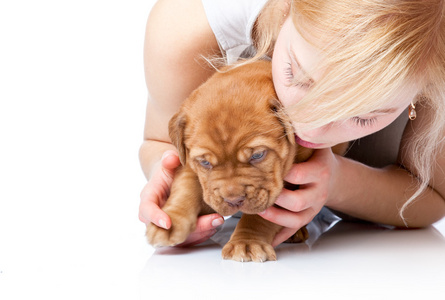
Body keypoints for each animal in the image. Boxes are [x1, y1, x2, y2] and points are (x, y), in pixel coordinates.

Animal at [146, 59, 346, 262]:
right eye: (205, 163)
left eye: (257, 155)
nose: (233, 200)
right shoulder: (188, 161)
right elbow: (185, 187)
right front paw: (169, 221)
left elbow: (261, 217)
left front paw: (247, 243)